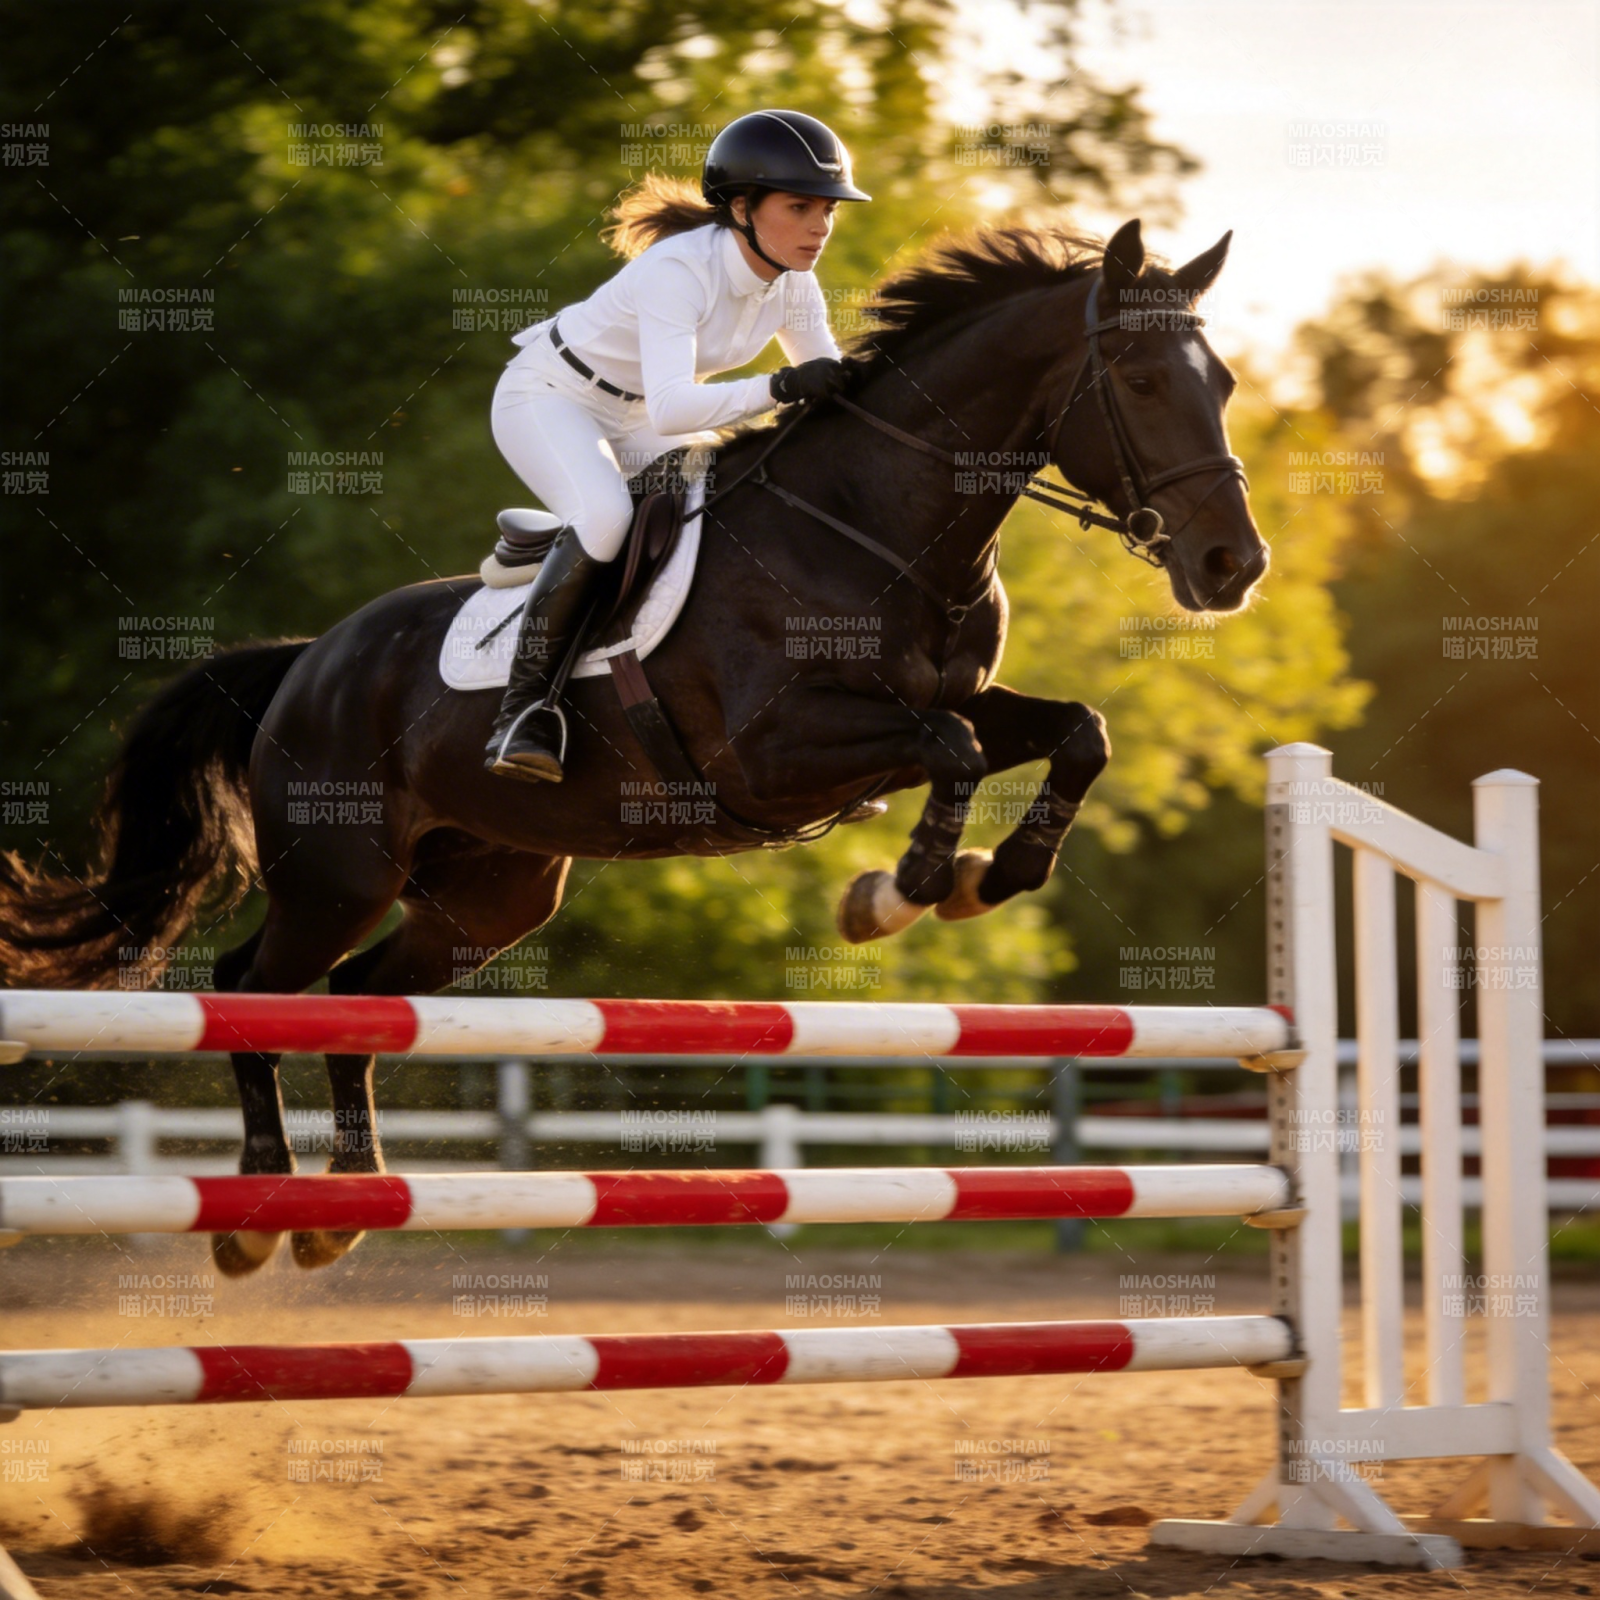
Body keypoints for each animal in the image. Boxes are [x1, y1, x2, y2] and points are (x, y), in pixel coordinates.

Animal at [0, 218, 1267, 1276]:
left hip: (493, 895)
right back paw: (263, 1212)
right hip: (336, 872)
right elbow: (951, 747)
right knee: (252, 990)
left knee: (357, 1001)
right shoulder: (773, 754)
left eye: (1224, 383)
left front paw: (991, 876)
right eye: (1141, 381)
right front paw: (901, 890)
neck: (878, 529)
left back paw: (347, 1198)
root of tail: (308, 658)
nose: (1232, 566)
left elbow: (1072, 732)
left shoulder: (954, 705)